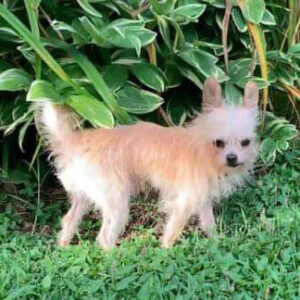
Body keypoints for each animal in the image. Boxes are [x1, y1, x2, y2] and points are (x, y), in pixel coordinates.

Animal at [39, 77, 260, 248]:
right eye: (218, 143)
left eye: (245, 143)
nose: (232, 158)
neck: (204, 151)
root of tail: (74, 142)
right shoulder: (184, 201)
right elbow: (173, 230)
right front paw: (167, 252)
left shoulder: (202, 197)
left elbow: (209, 223)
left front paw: (216, 242)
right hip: (116, 200)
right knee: (104, 237)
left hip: (86, 195)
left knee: (69, 220)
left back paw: (64, 247)